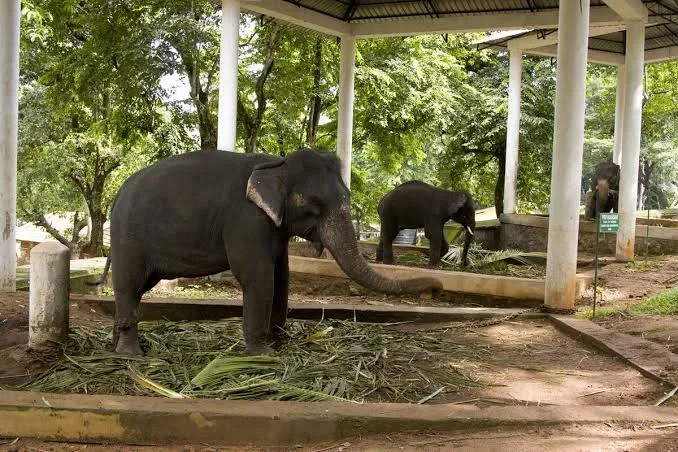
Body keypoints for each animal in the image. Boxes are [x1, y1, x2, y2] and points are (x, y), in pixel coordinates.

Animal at [91, 149, 442, 356]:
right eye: (316, 204)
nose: (435, 290)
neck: (277, 163)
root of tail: (118, 193)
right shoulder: (247, 219)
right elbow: (258, 275)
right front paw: (262, 356)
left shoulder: (274, 227)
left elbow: (281, 274)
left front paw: (280, 343)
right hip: (128, 237)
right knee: (129, 284)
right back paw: (131, 354)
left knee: (136, 289)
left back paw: (120, 345)